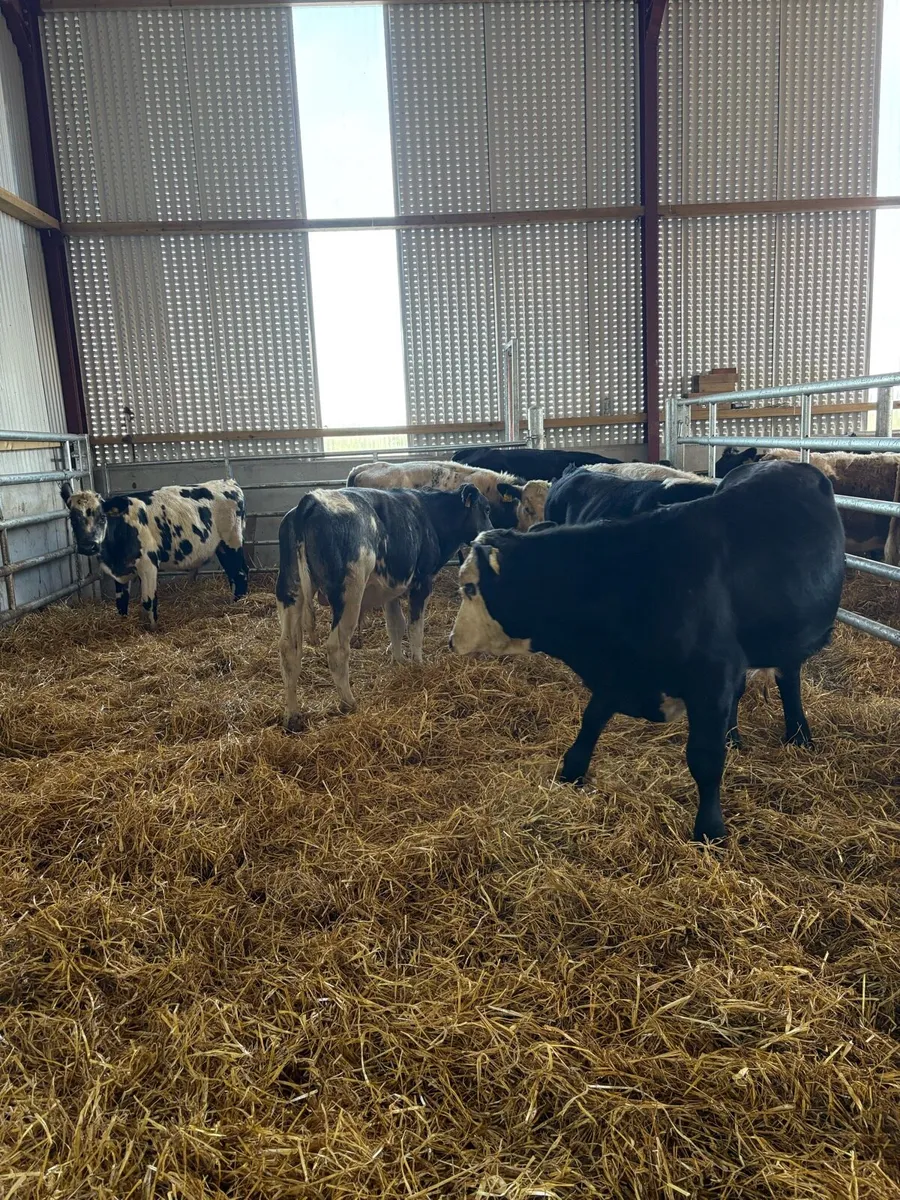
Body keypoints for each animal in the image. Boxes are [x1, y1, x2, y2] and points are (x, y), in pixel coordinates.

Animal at [61, 480, 248, 627]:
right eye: (73, 519)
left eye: (102, 517)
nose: (88, 546)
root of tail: (228, 482)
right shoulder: (119, 572)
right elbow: (121, 603)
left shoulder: (148, 565)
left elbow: (148, 602)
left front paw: (151, 630)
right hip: (222, 547)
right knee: (233, 574)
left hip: (232, 541)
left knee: (240, 572)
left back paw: (240, 603)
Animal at [276, 484, 491, 726]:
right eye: (486, 509)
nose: (491, 536)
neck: (429, 514)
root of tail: (313, 498)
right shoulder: (423, 581)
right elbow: (416, 628)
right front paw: (418, 665)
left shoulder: (391, 590)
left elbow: (395, 625)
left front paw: (399, 660)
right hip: (349, 594)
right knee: (336, 648)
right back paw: (349, 703)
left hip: (290, 590)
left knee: (289, 649)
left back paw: (293, 716)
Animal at [449, 460, 845, 843]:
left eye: (469, 588)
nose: (451, 640)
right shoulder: (620, 671)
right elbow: (591, 719)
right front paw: (572, 771)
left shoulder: (711, 678)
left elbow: (705, 758)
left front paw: (710, 829)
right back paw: (735, 735)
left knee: (788, 676)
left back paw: (798, 735)